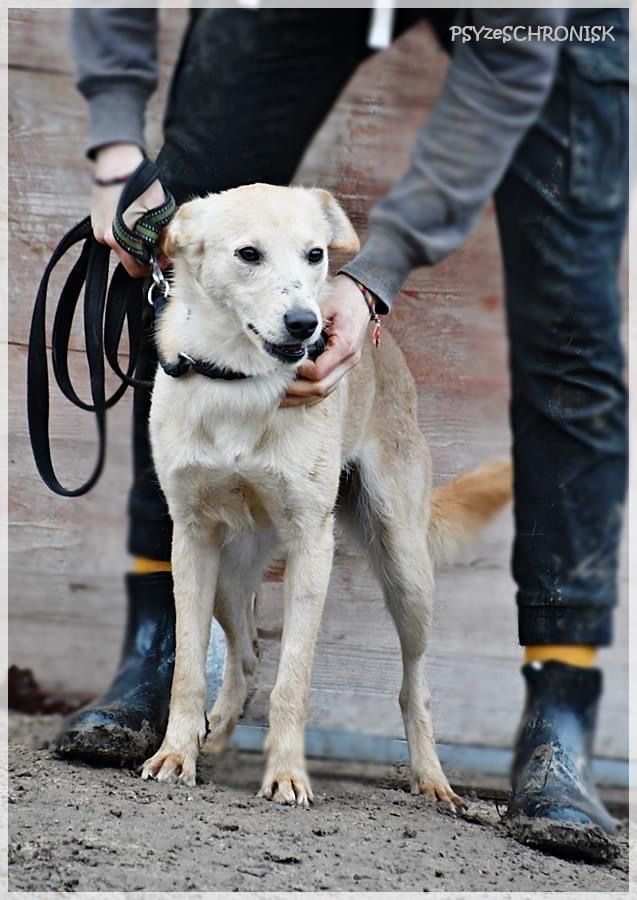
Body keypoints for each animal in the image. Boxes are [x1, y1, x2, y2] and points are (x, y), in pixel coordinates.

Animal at [140, 183, 512, 808]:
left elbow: (295, 678)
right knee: (246, 653)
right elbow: (188, 671)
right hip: (229, 577)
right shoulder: (190, 538)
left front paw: (288, 774)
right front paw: (176, 754)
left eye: (315, 254)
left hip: (407, 572)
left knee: (415, 687)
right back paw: (216, 732)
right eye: (248, 254)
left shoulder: (313, 544)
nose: (305, 324)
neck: (242, 382)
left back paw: (433, 778)